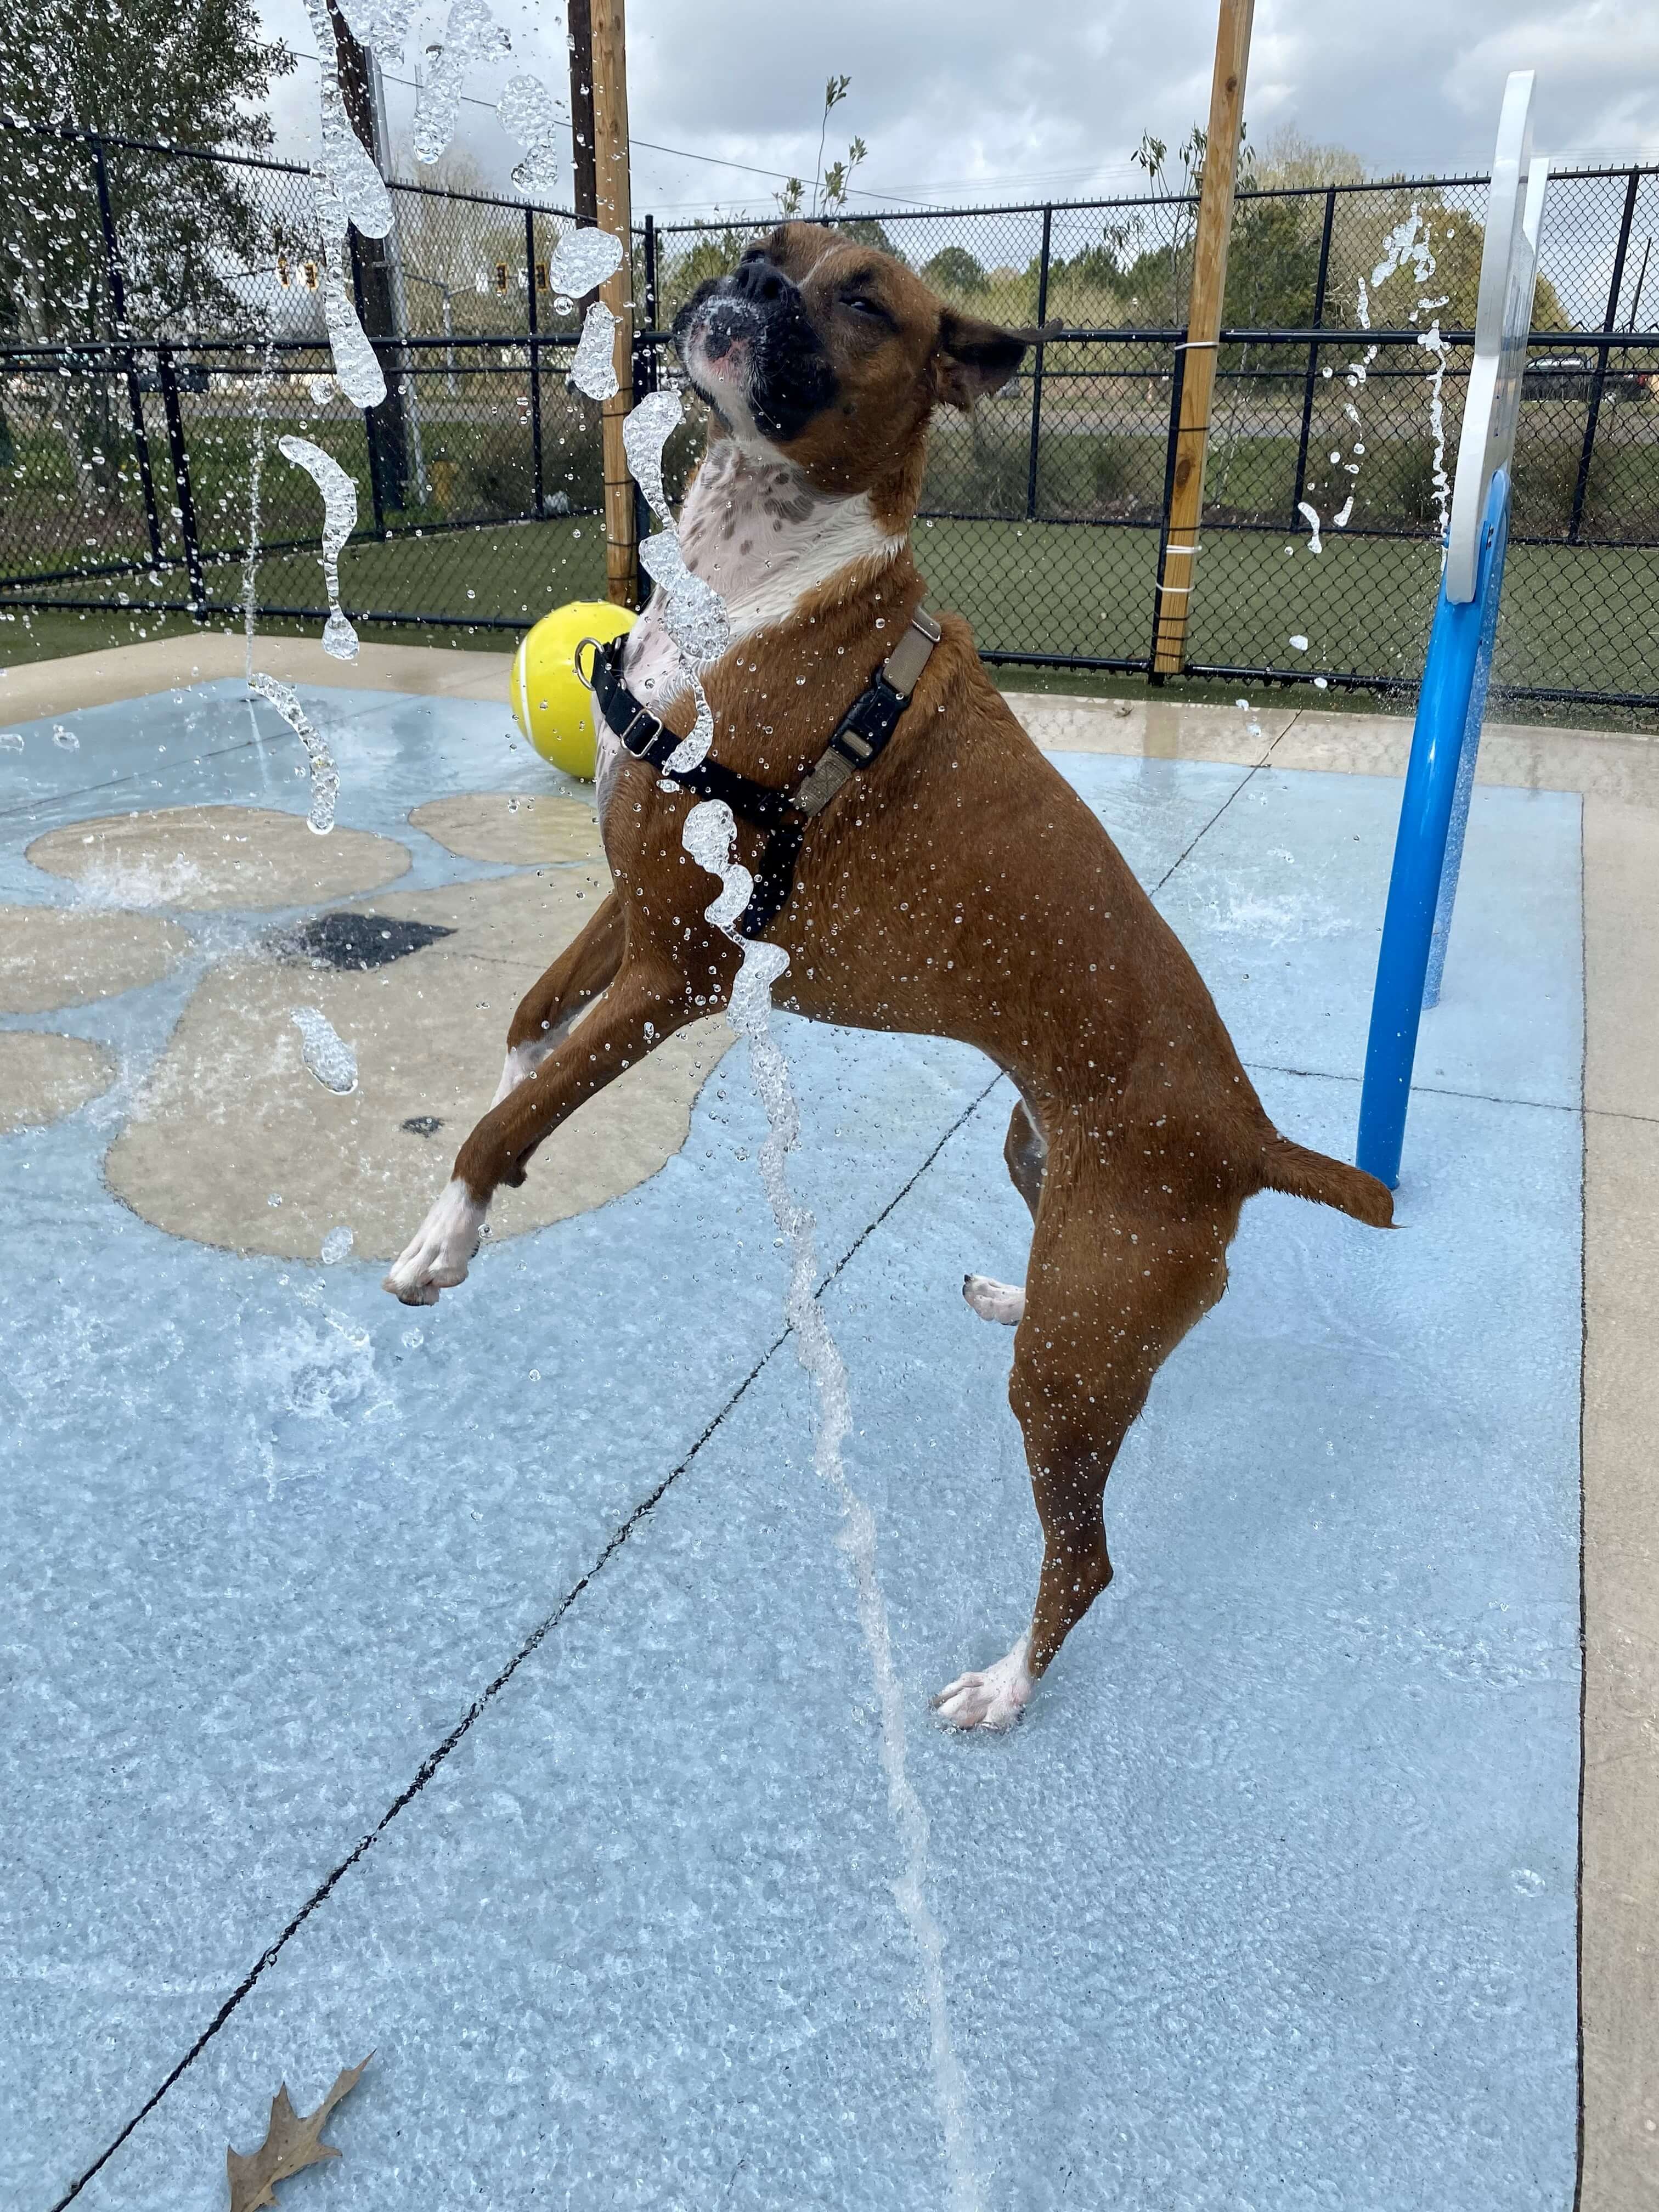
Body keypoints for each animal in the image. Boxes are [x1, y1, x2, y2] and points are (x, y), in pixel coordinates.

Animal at [382, 233, 1398, 1734]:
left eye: (864, 300)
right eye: (768, 251)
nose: (740, 282)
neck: (758, 582)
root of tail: (1250, 1135)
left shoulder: (677, 971)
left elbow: (519, 1117)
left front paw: (447, 1236)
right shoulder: (629, 914)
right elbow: (525, 1036)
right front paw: (475, 1158)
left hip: (1070, 1378)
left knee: (1087, 1559)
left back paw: (1007, 1687)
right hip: (1048, 1180)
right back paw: (1013, 1298)